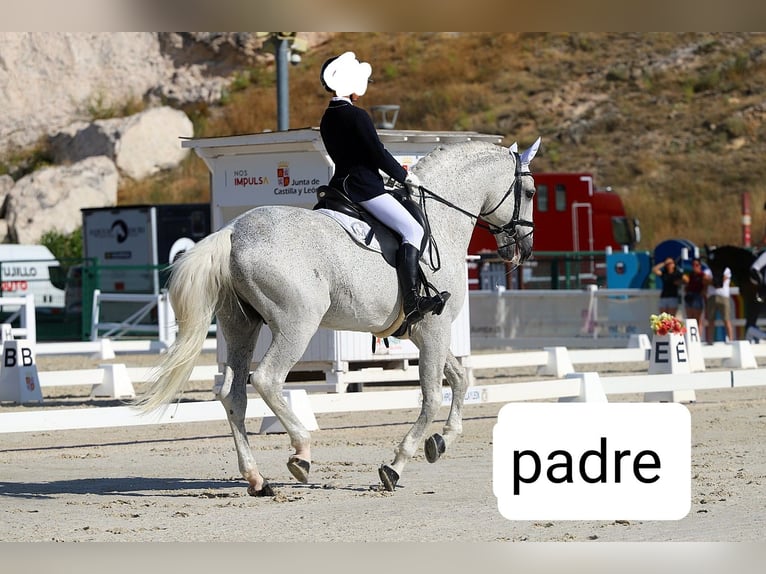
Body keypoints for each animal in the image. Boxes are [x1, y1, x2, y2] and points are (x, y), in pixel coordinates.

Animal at [135, 137, 540, 496]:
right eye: (532, 193)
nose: (524, 249)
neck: (440, 219)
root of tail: (233, 231)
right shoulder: (434, 328)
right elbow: (431, 397)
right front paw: (396, 465)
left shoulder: (423, 332)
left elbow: (459, 380)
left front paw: (441, 441)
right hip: (296, 325)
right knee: (267, 379)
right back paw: (301, 453)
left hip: (241, 326)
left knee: (232, 394)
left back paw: (257, 480)